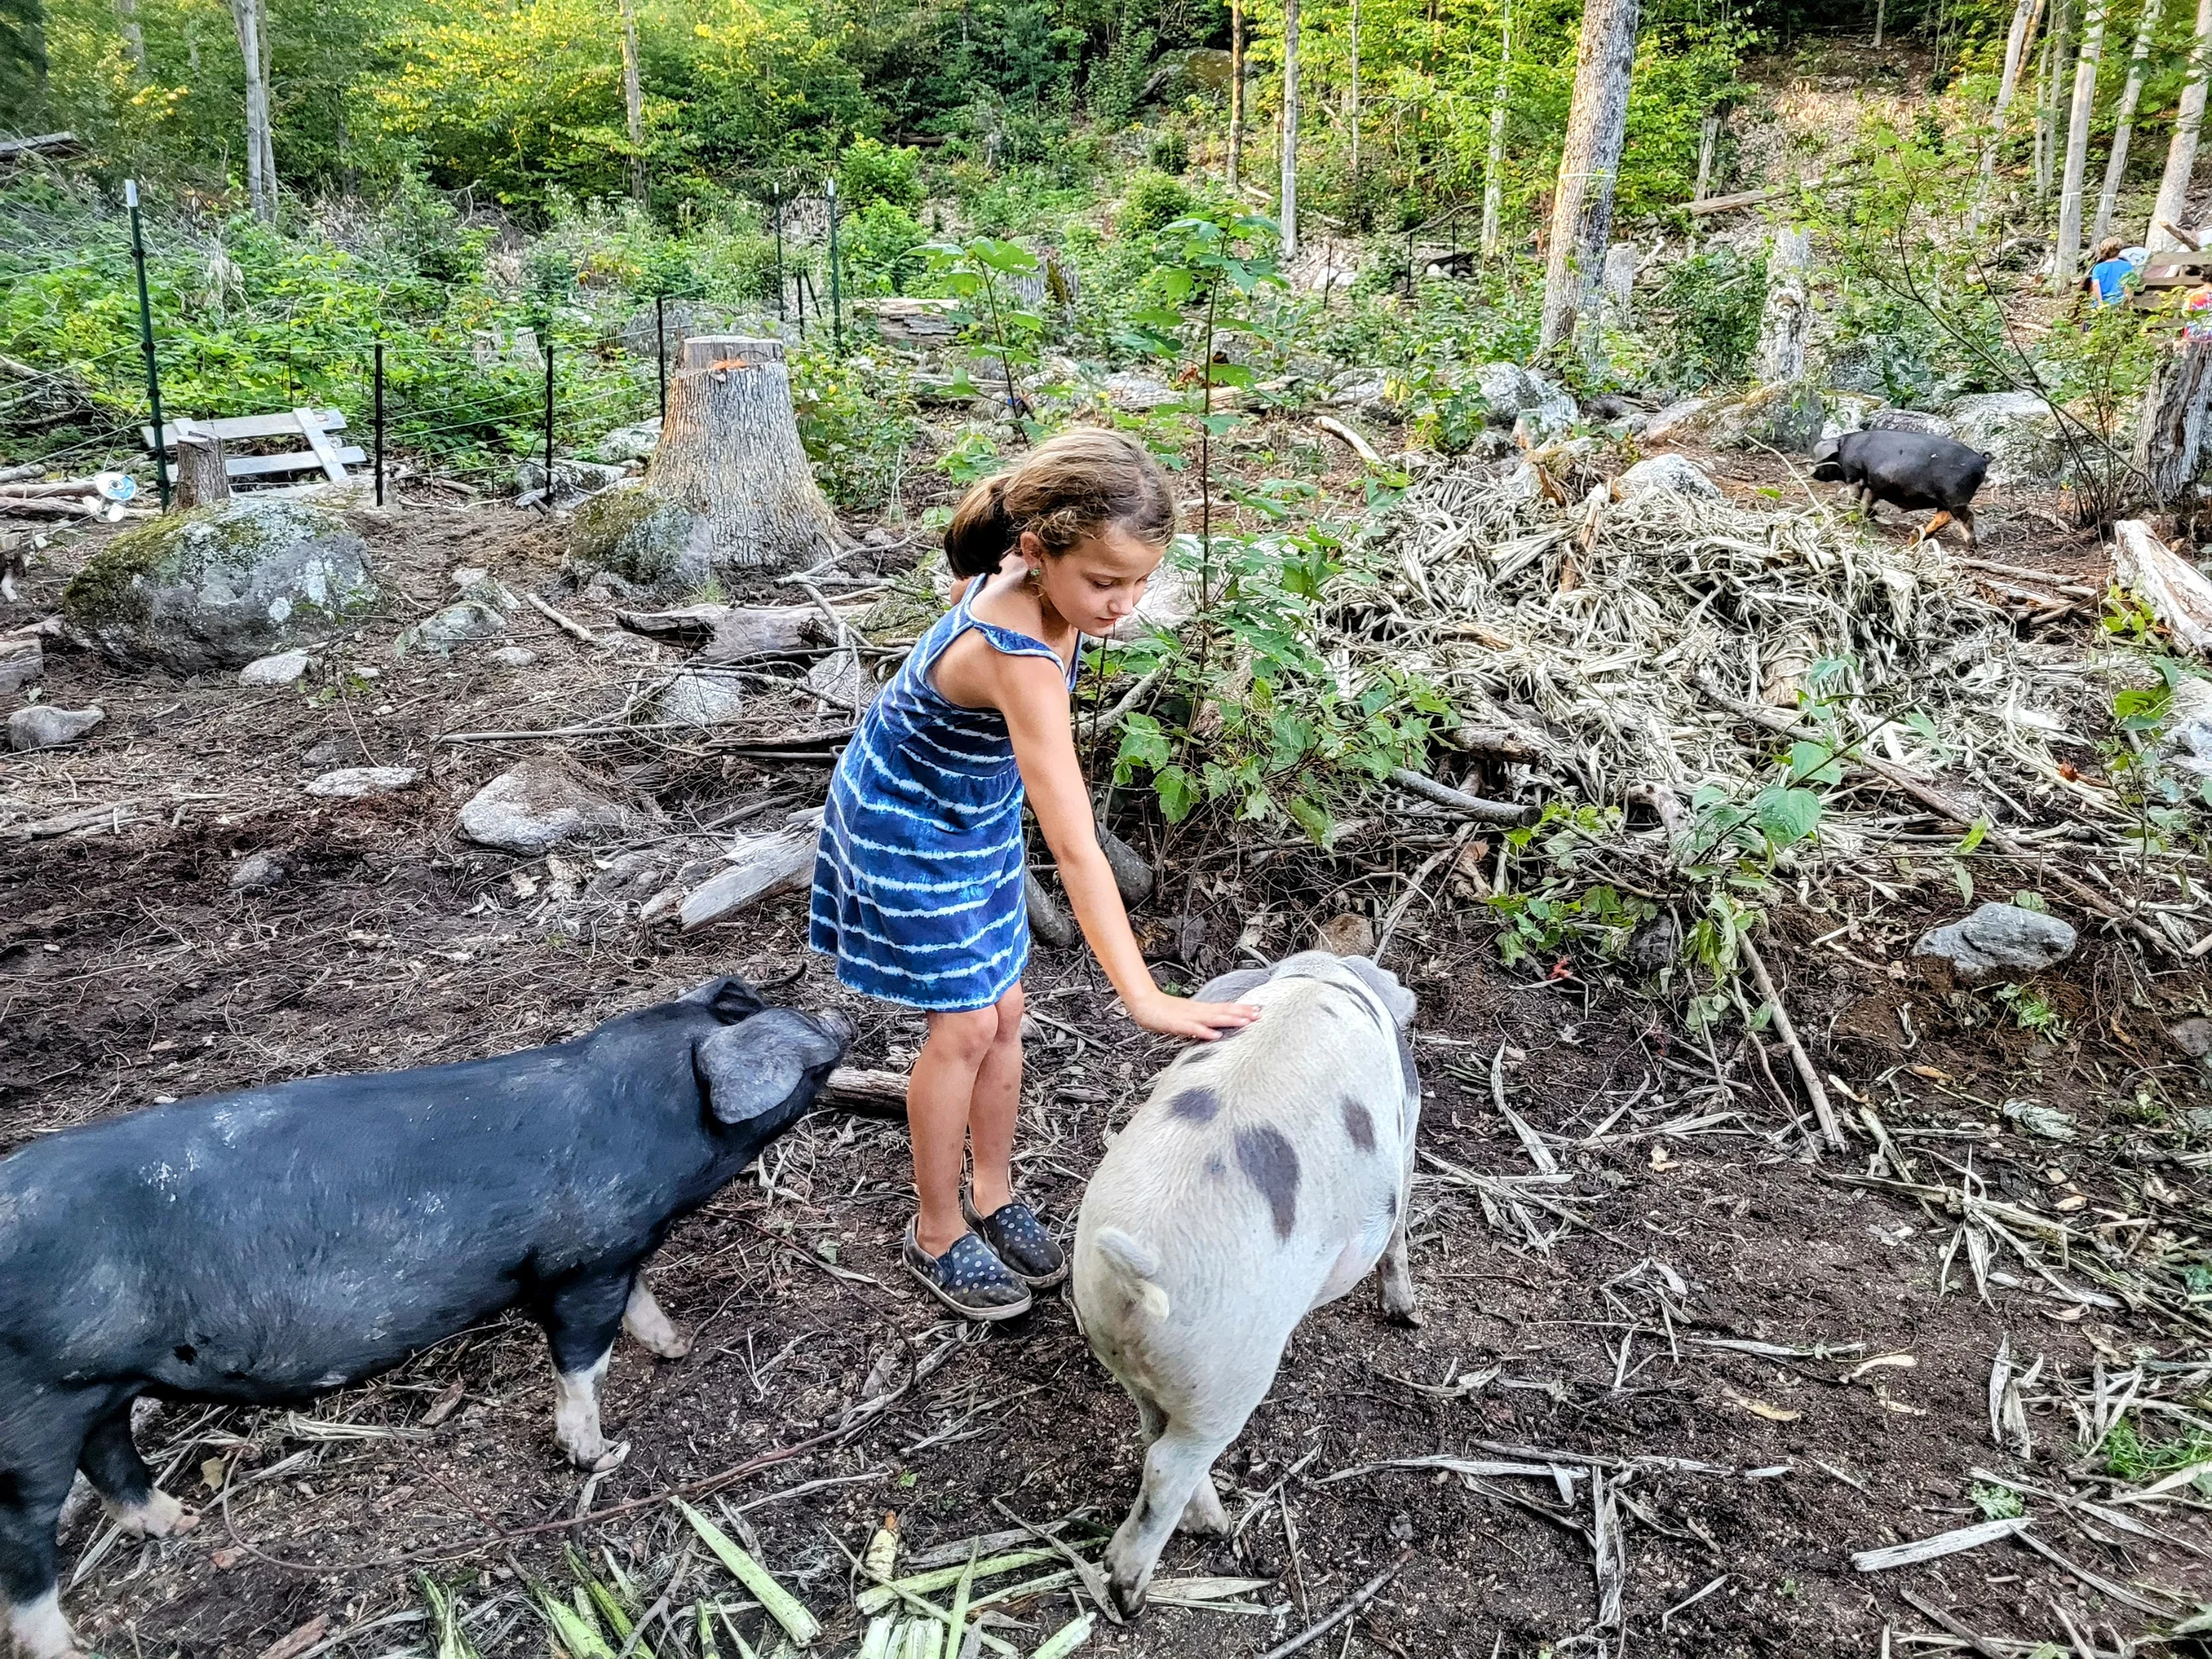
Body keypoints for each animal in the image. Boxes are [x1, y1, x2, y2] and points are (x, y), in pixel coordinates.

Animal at [0, 982, 849, 1655]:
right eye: (802, 1039)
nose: (840, 1012)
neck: (648, 1115)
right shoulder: (585, 1263)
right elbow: (584, 1359)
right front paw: (602, 1454)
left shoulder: (620, 1254)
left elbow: (641, 1306)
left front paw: (678, 1347)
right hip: (35, 1405)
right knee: (25, 1538)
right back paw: (71, 1646)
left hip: (99, 1387)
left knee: (110, 1452)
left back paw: (178, 1522)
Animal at [1071, 956, 1416, 1619]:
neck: (1317, 975)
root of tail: (1141, 1272)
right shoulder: (1407, 1140)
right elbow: (1400, 1229)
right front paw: (1406, 1315)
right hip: (1230, 1372)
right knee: (1168, 1465)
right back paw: (1139, 1586)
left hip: (1123, 1348)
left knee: (1152, 1433)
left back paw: (1207, 1524)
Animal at [1805, 425, 2000, 549]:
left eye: (1822, 457)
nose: (1810, 470)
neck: (1844, 449)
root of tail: (1982, 460)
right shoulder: (1873, 485)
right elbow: (1867, 501)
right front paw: (1867, 515)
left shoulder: (1855, 476)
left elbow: (1854, 497)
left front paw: (1846, 514)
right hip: (1947, 501)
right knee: (1943, 517)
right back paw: (1916, 538)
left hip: (1955, 497)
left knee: (1965, 517)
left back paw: (1970, 546)